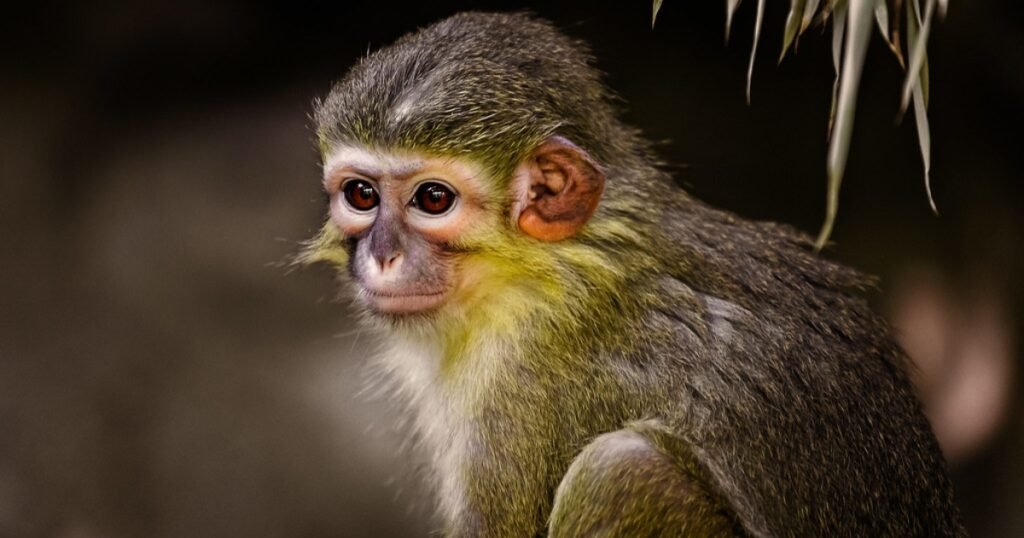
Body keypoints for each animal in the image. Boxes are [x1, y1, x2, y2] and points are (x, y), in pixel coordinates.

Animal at [303, 11, 966, 537]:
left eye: (433, 200)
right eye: (361, 195)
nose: (382, 255)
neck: (549, 266)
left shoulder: (520, 390)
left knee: (623, 467)